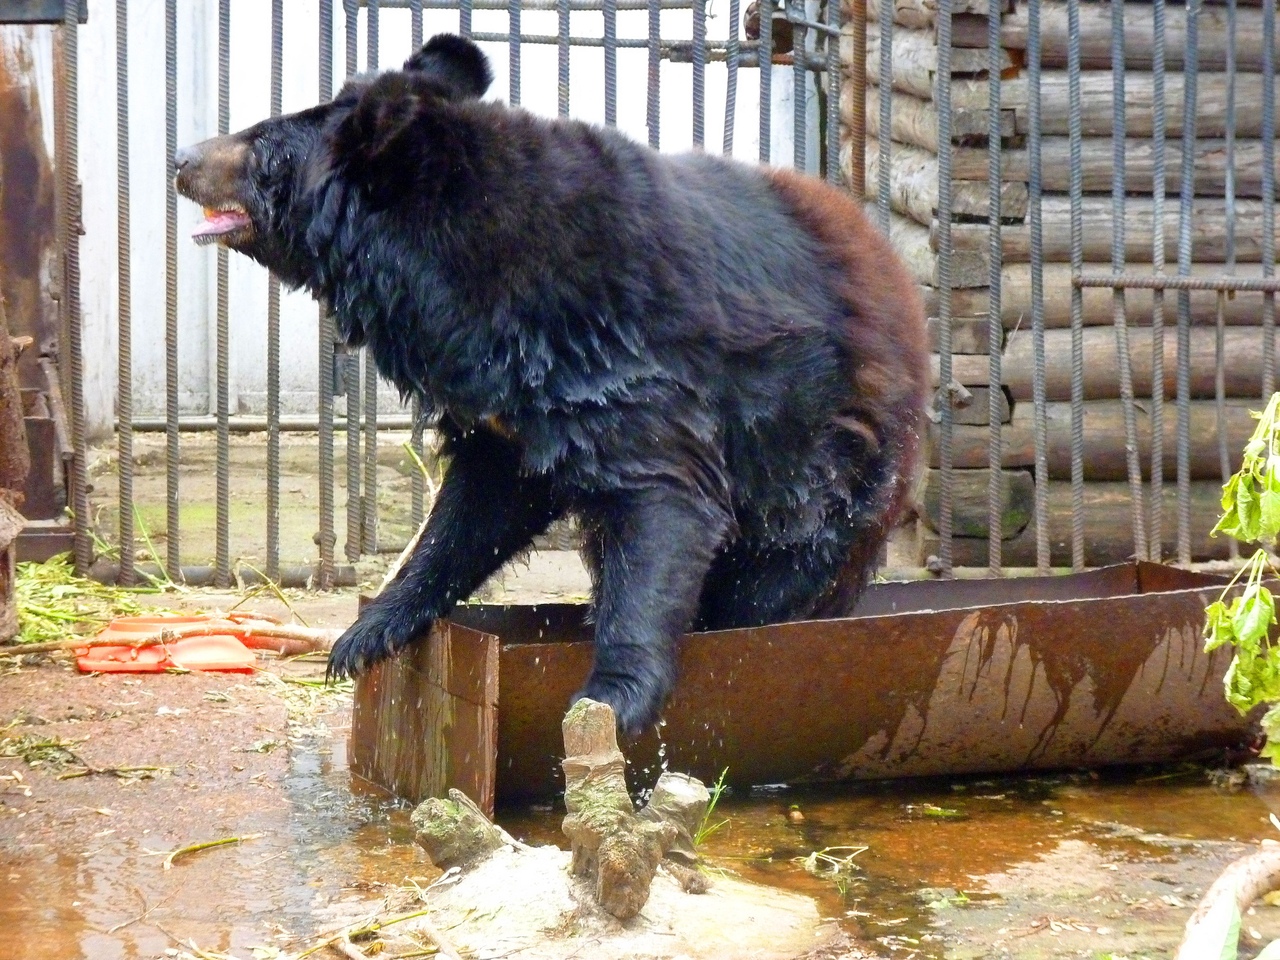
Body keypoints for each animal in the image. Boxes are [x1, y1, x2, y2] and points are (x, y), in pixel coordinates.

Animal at [173, 34, 929, 736]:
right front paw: (366, 634)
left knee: (780, 569)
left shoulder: (622, 353)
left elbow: (663, 496)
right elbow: (476, 508)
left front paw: (615, 697)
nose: (181, 159)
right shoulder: (506, 407)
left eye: (259, 146)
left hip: (827, 459)